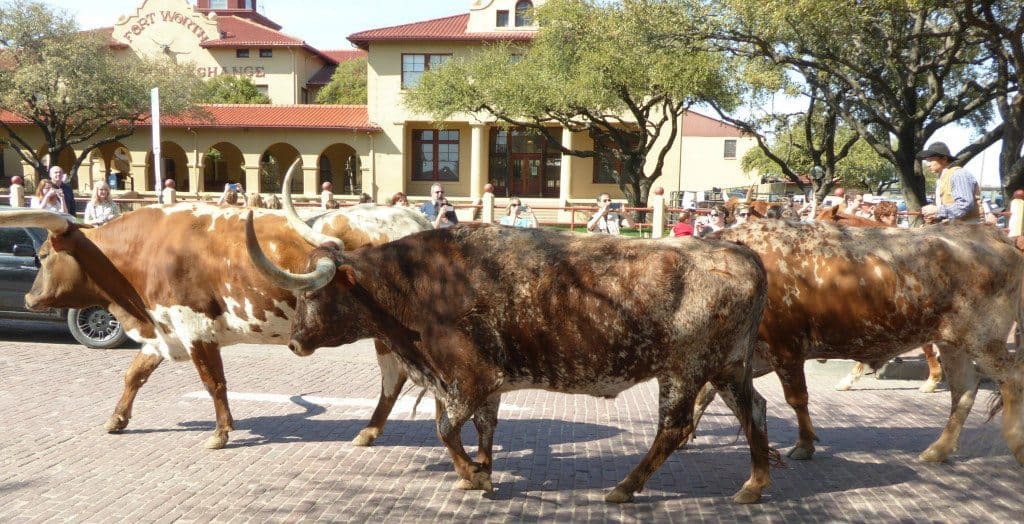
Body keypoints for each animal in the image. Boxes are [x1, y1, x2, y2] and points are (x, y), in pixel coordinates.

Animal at [0, 160, 431, 450]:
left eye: (43, 254)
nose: (30, 298)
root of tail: (409, 217)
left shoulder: (194, 327)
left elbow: (214, 383)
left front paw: (221, 433)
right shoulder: (164, 329)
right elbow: (134, 374)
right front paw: (116, 419)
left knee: (392, 378)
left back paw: (370, 430)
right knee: (396, 378)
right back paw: (370, 432)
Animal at [246, 220, 775, 504]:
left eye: (312, 294)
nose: (295, 342)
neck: (417, 284)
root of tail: (741, 253)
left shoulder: (469, 378)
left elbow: (445, 429)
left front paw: (473, 476)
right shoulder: (486, 386)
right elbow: (484, 429)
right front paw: (480, 471)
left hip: (684, 372)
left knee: (674, 428)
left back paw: (625, 487)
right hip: (729, 369)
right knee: (756, 412)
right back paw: (754, 483)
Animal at [698, 220, 1024, 465]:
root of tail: (995, 236)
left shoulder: (786, 349)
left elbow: (797, 399)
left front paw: (805, 444)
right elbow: (704, 395)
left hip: (984, 340)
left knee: (1012, 380)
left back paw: (1014, 441)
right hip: (953, 343)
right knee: (965, 391)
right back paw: (938, 450)